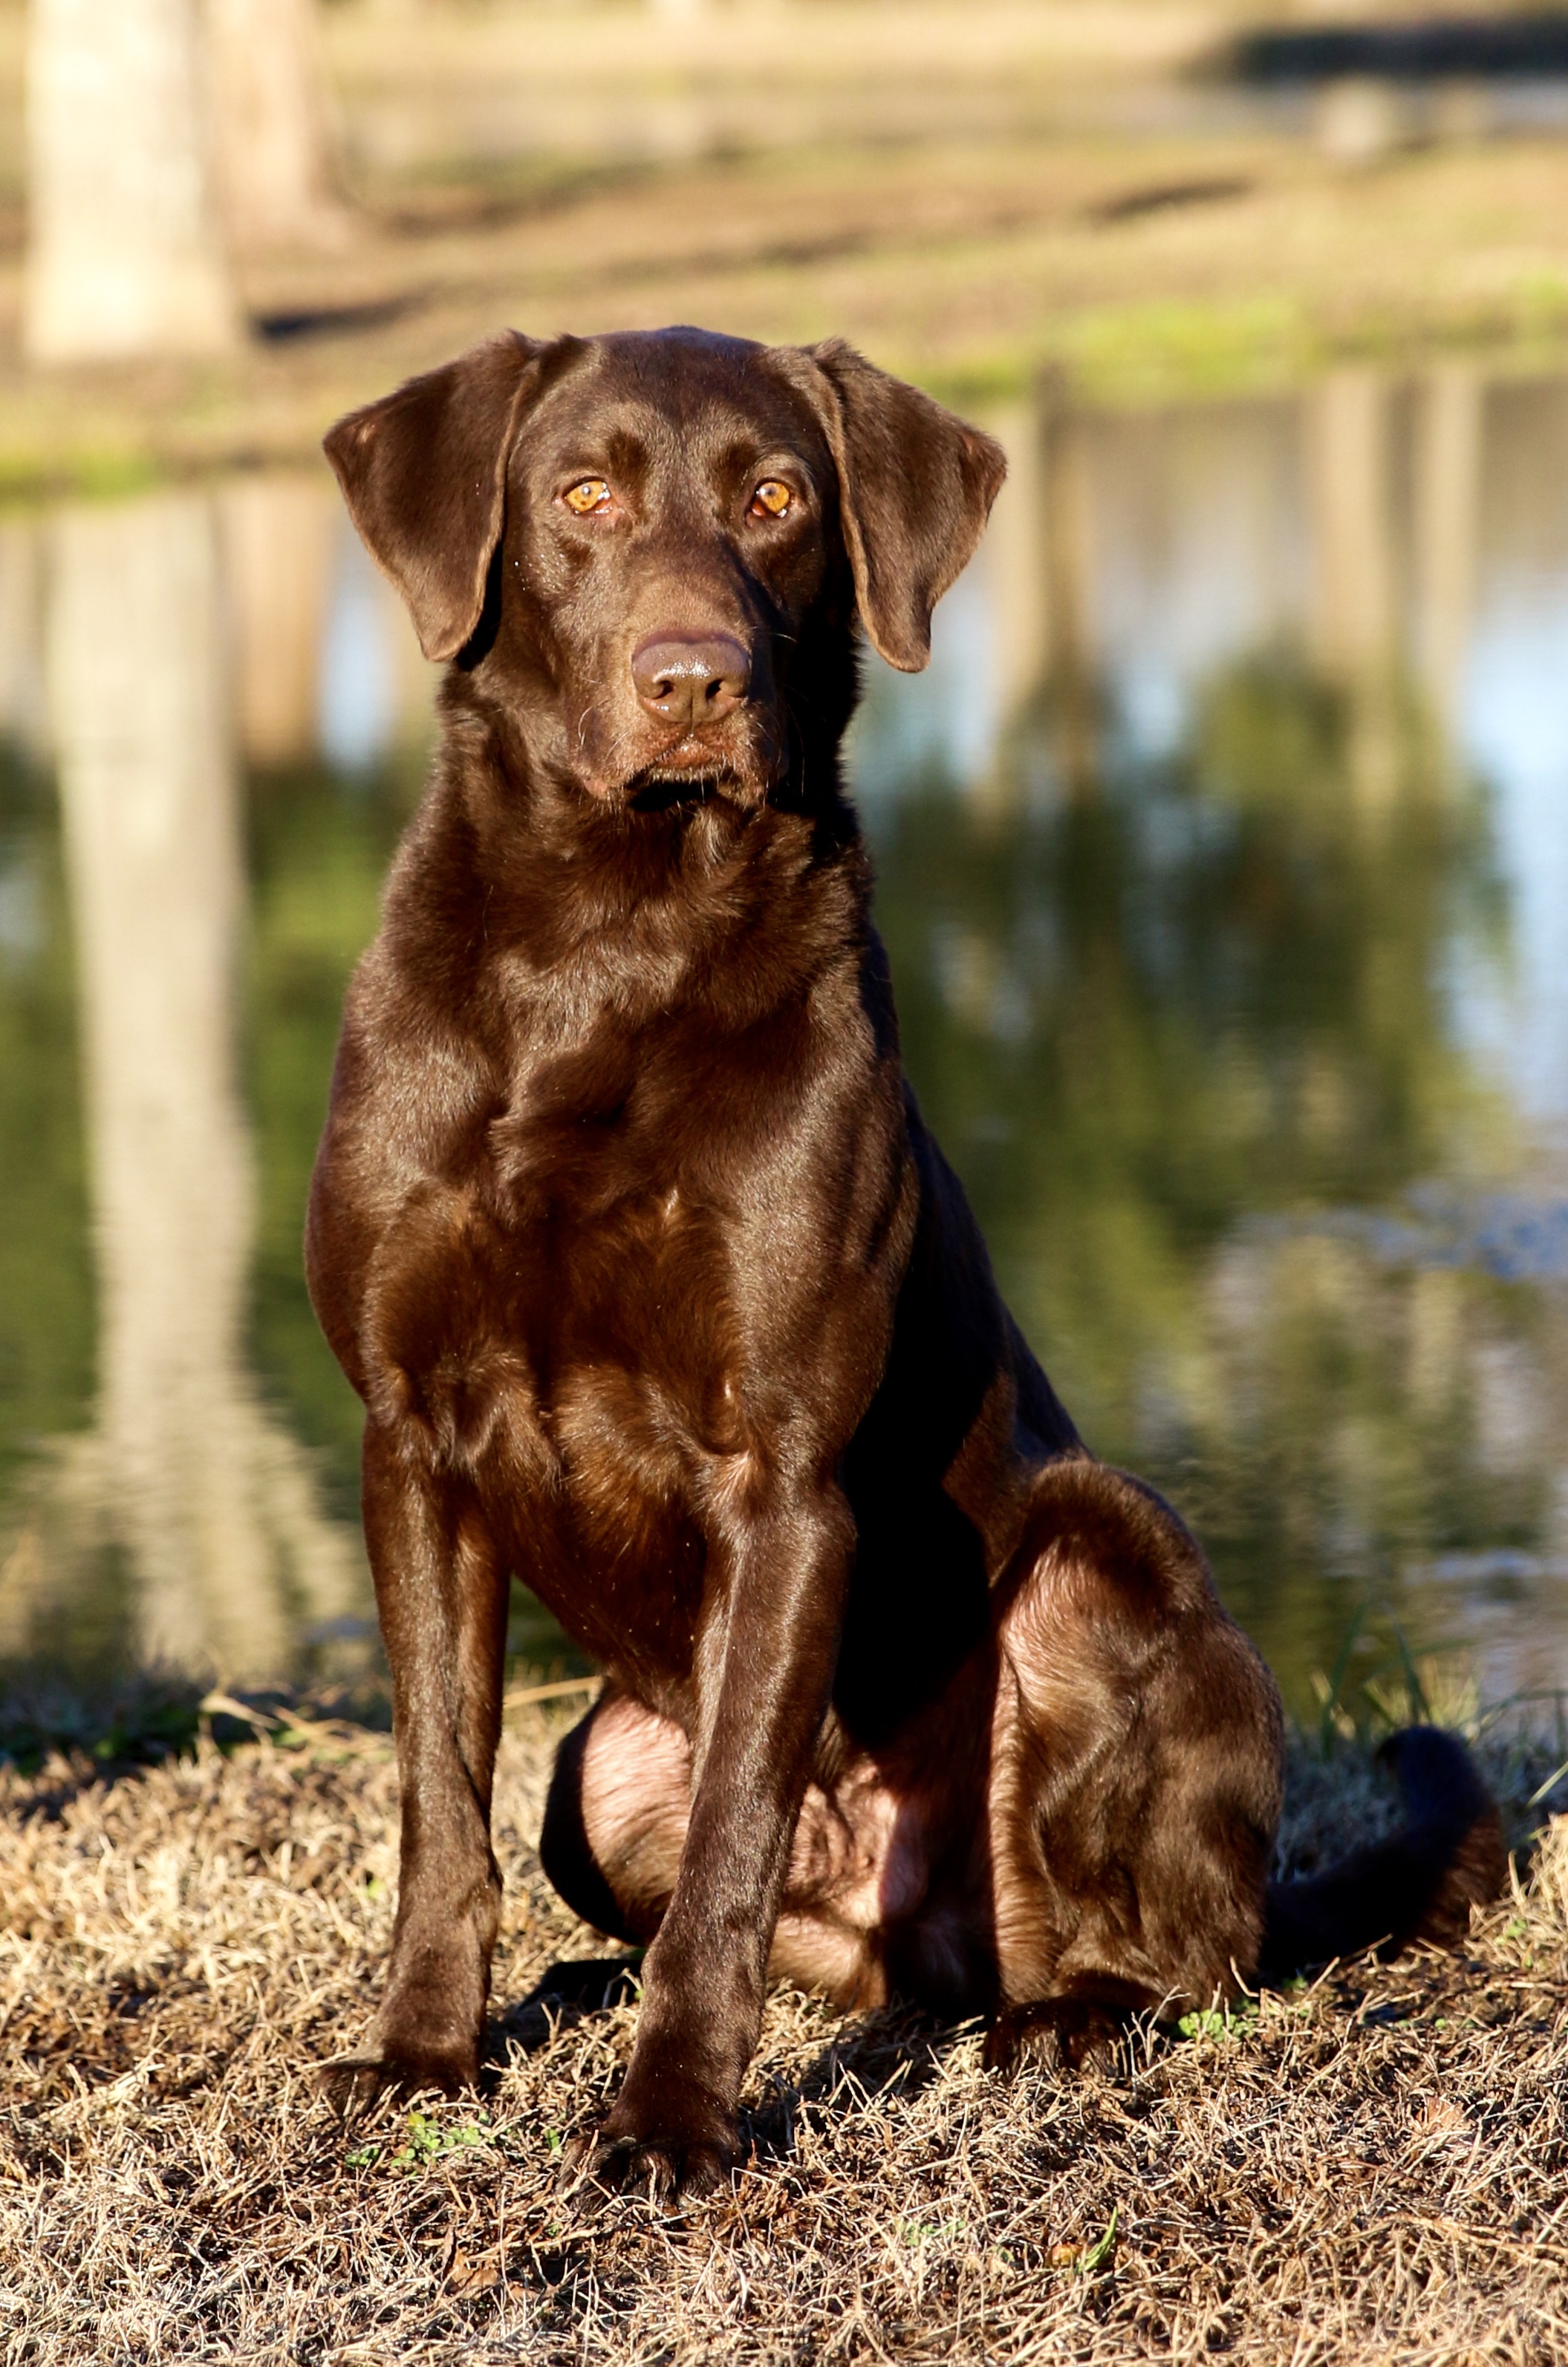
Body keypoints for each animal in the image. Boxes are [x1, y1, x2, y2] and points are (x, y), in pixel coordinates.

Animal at [310, 328, 1515, 2196]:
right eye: (579, 494)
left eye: (772, 499)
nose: (691, 678)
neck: (605, 945)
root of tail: (937, 1940)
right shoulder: (410, 1438)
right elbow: (441, 1799)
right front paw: (425, 2056)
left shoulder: (785, 1476)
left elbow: (729, 1837)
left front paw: (670, 2120)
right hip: (601, 1768)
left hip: (1103, 1556)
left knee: (1189, 1954)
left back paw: (1064, 2016)